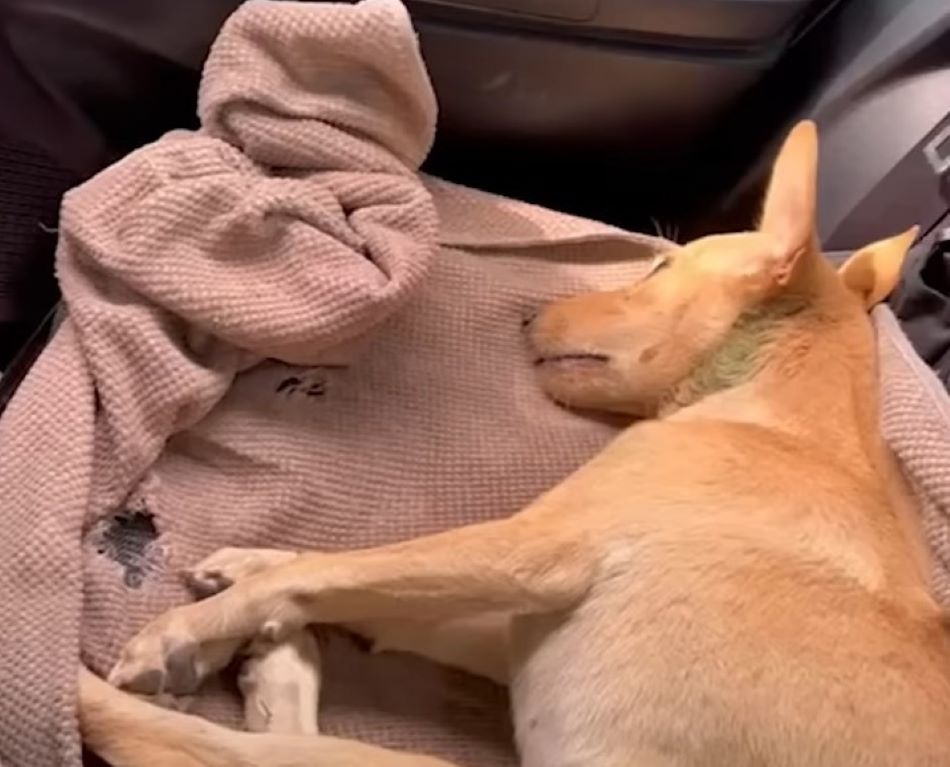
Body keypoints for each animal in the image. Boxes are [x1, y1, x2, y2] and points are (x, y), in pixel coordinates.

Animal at [80, 120, 950, 767]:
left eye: (656, 267)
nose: (528, 316)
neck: (778, 415)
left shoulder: (533, 550)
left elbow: (340, 571)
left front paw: (192, 629)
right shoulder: (512, 617)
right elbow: (349, 581)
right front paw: (254, 577)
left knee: (206, 747)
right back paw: (277, 667)